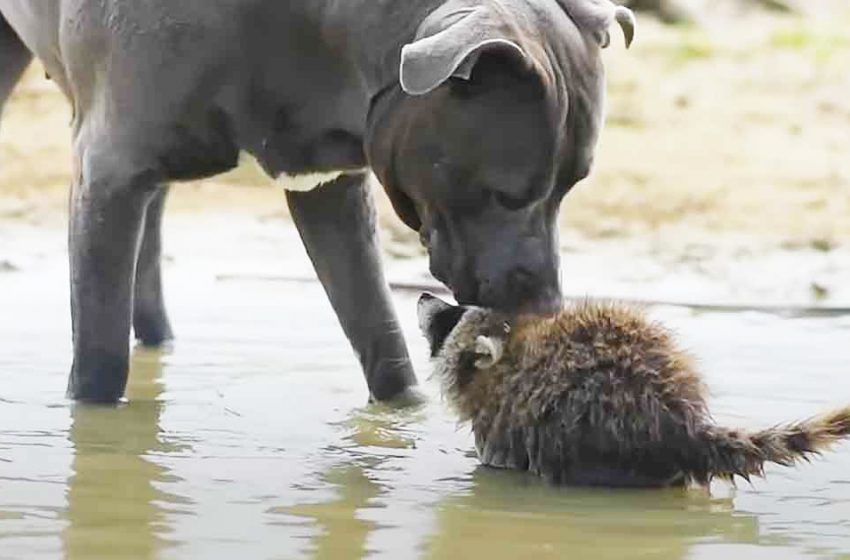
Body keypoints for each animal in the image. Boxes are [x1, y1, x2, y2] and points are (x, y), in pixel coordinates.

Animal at [0, 0, 628, 402]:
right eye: (505, 193)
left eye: (571, 187)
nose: (546, 306)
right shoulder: (109, 175)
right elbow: (100, 363)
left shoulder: (329, 189)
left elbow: (380, 336)